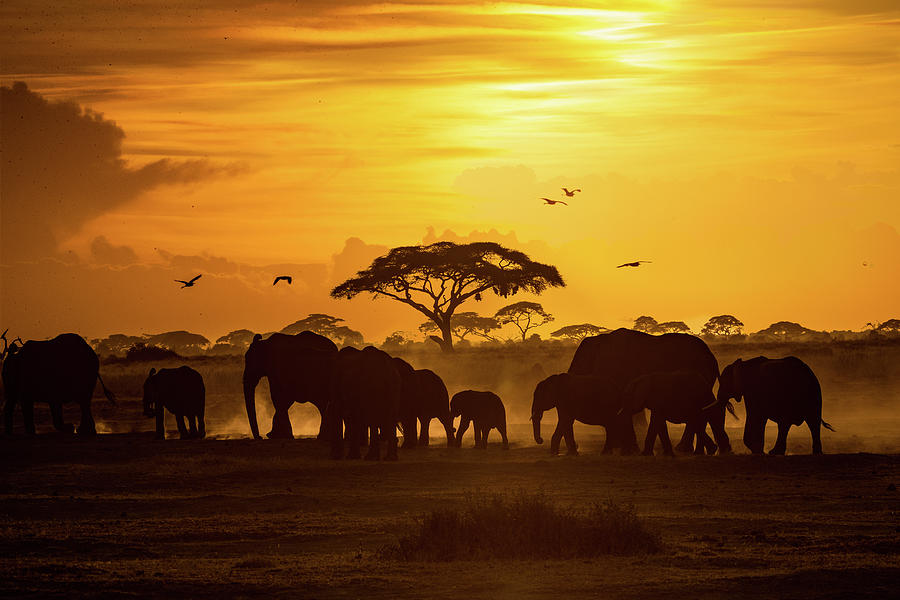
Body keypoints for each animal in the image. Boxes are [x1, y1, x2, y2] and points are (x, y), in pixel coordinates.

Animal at [568, 330, 732, 452]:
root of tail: (712, 357)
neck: (599, 341)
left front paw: (626, 448)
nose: (577, 446)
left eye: (579, 369)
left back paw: (684, 449)